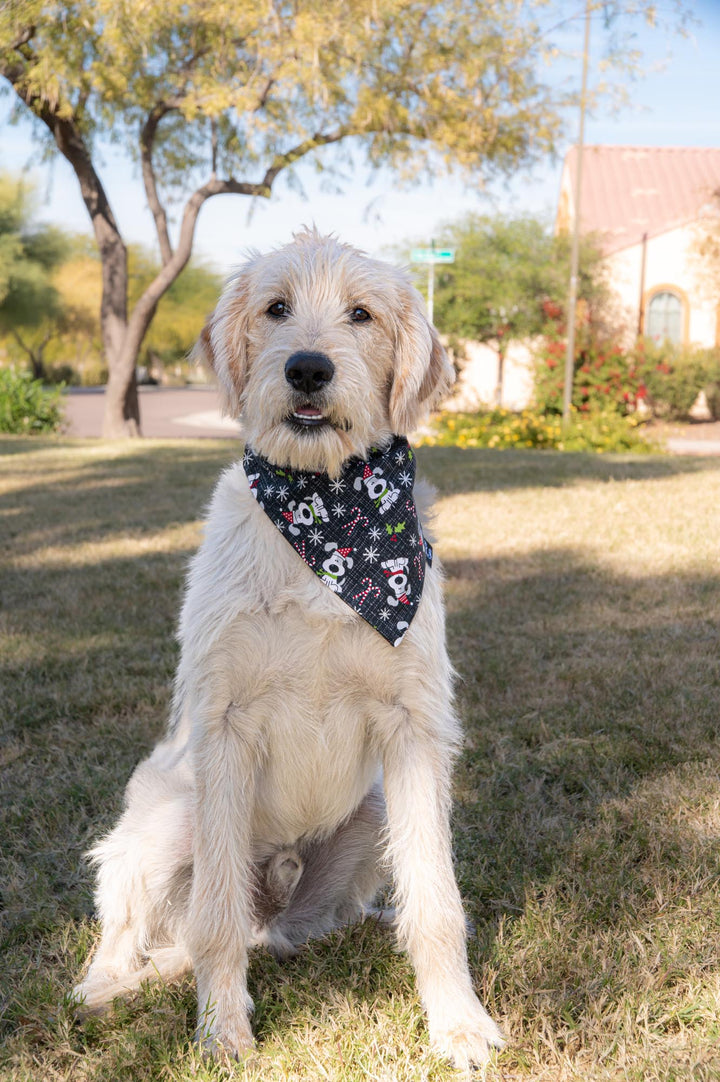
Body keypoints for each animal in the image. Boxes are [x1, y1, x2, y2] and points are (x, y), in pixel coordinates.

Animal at [71, 232, 500, 1069]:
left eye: (361, 314)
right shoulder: (226, 725)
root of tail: (272, 912)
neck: (326, 519)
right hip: (175, 814)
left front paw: (458, 1023)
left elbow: (437, 902)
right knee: (145, 925)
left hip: (372, 809)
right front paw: (221, 1030)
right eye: (275, 308)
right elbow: (212, 921)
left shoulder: (414, 726)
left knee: (317, 918)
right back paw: (105, 985)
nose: (307, 368)